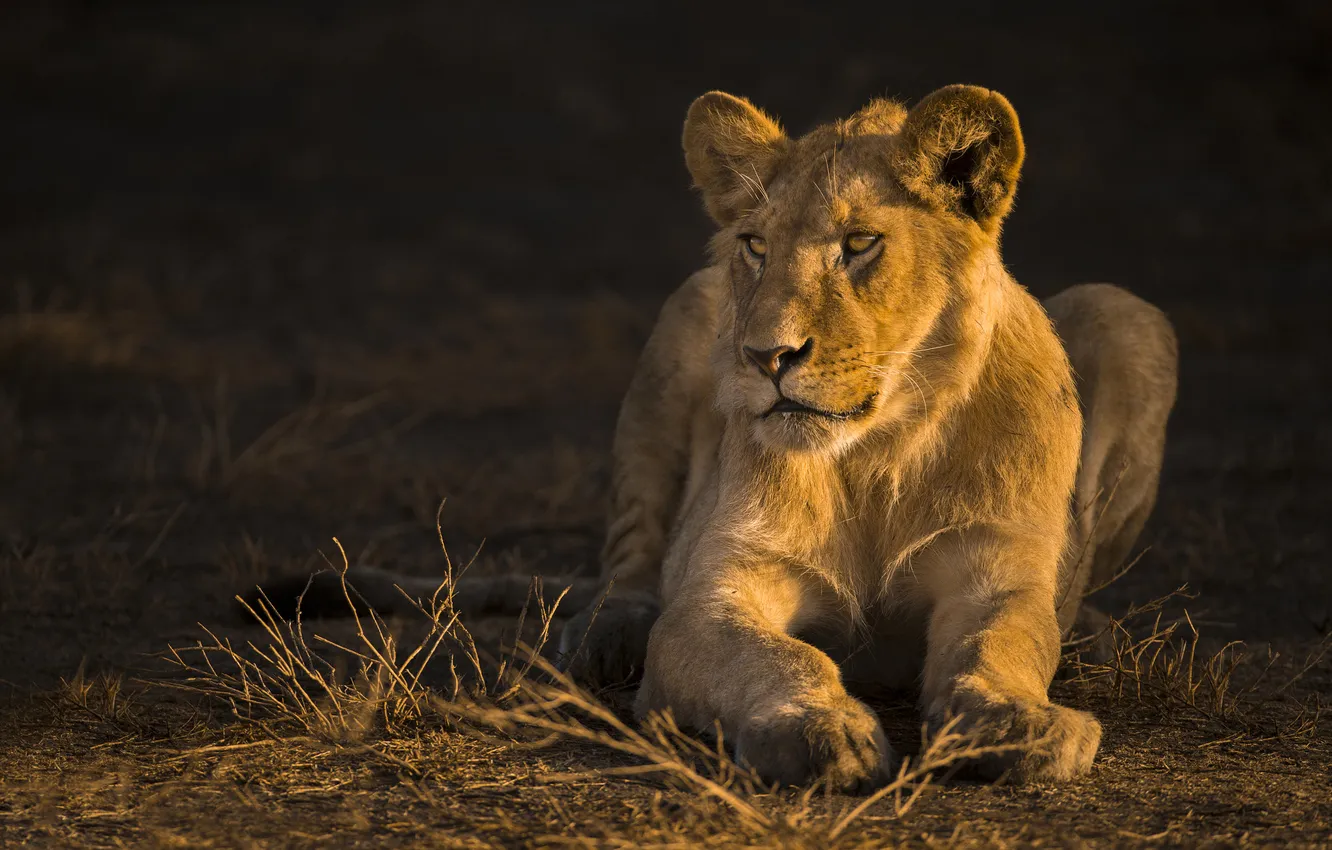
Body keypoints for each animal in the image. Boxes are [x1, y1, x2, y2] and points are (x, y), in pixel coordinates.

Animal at [251, 85, 1177, 790]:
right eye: (756, 246)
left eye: (860, 244)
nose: (766, 355)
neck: (878, 452)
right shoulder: (718, 590)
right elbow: (775, 659)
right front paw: (821, 731)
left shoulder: (995, 575)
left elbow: (1003, 642)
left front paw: (1019, 724)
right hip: (685, 315)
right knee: (629, 562)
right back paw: (605, 636)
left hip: (1129, 315)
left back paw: (1091, 630)